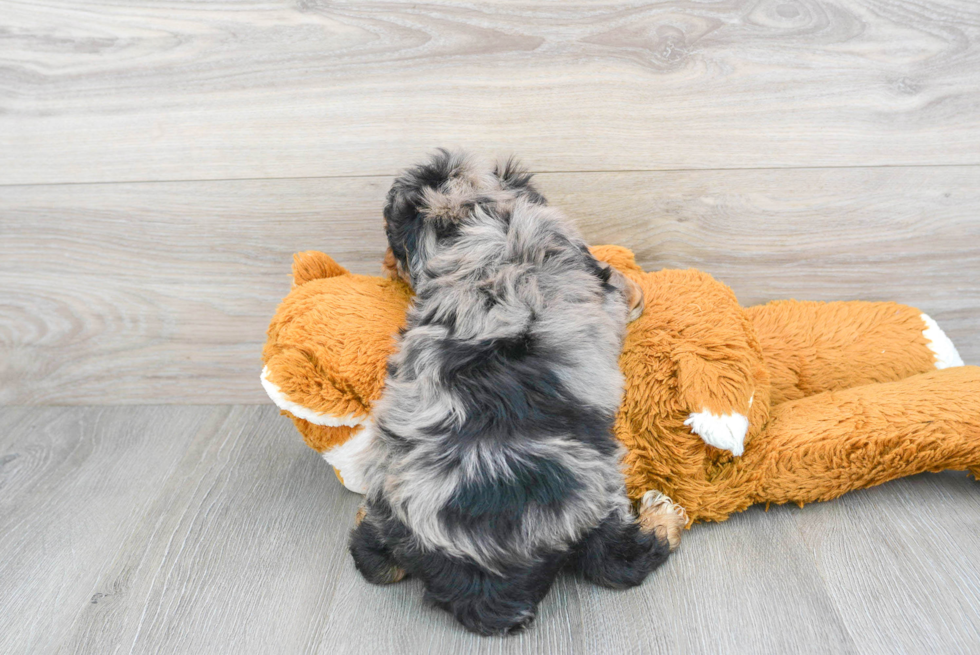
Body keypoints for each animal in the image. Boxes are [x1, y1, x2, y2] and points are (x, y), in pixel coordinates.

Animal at [350, 150, 680, 636]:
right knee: (615, 561)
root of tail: (475, 575)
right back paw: (663, 520)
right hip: (593, 496)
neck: (473, 220)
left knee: (373, 559)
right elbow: (621, 285)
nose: (386, 262)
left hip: (391, 507)